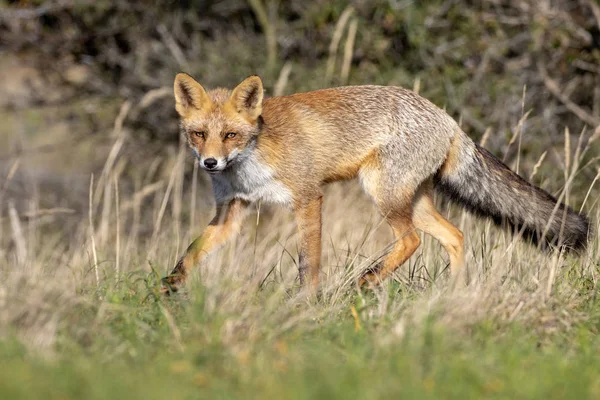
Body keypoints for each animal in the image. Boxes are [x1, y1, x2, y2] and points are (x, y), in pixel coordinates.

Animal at [162, 72, 588, 290]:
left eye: (230, 135)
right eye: (199, 134)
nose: (210, 163)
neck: (251, 162)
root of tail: (447, 117)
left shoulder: (308, 197)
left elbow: (308, 262)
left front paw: (307, 302)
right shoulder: (231, 210)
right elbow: (192, 251)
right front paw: (169, 287)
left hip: (382, 191)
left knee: (412, 241)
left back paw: (367, 280)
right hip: (414, 202)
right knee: (454, 235)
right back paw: (452, 295)